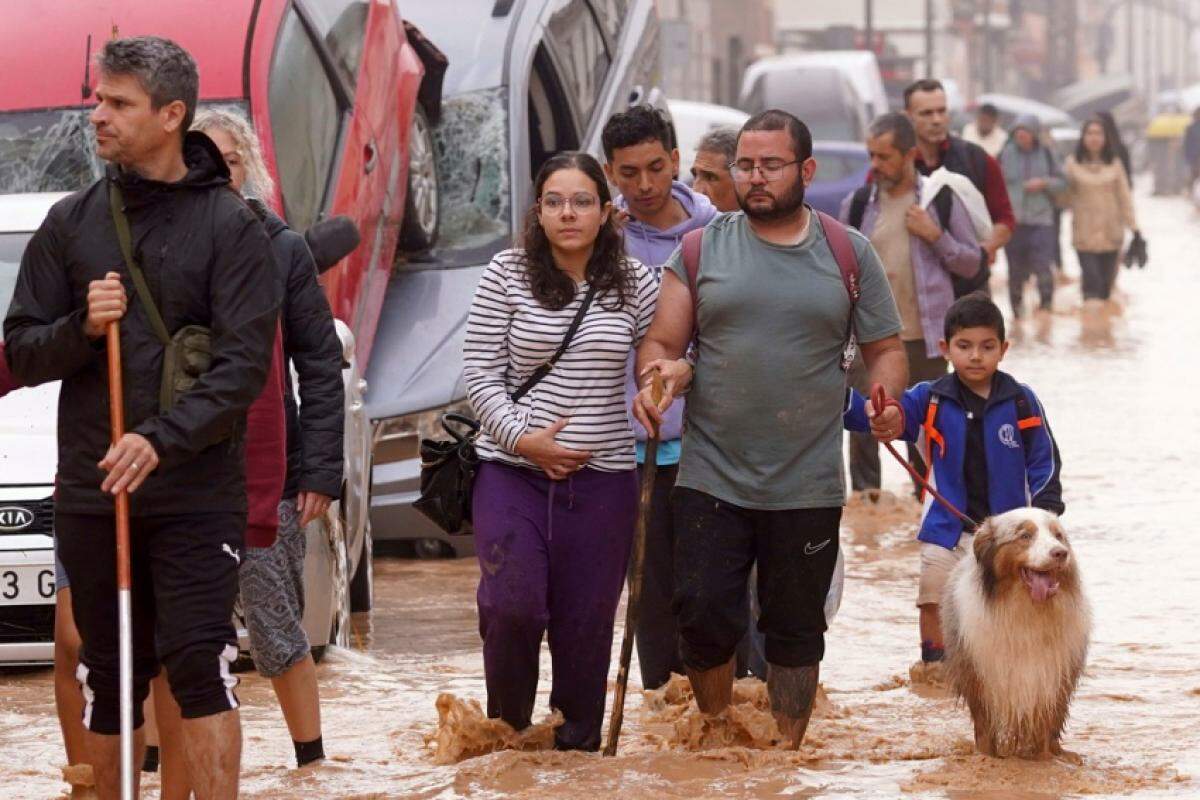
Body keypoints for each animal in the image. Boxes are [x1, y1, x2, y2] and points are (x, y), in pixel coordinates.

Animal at [940, 510, 1094, 762]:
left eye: (1058, 535)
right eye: (1025, 536)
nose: (1061, 553)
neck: (1027, 608)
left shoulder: (1052, 676)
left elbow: (1046, 723)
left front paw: (1046, 758)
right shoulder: (978, 675)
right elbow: (985, 727)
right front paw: (987, 757)